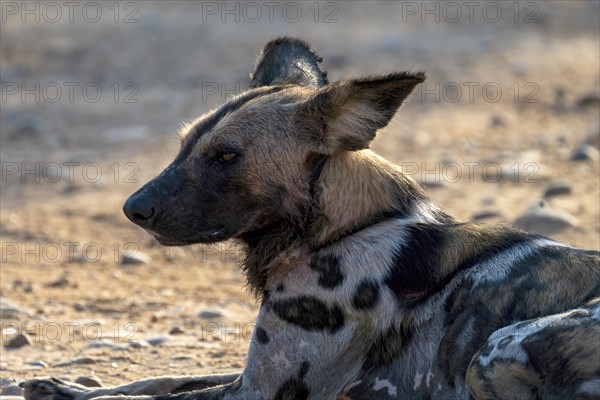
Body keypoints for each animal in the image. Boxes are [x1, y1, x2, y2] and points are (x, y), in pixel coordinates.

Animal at [22, 38, 600, 400]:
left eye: (226, 156)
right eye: (184, 145)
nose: (133, 208)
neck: (343, 230)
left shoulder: (258, 392)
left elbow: (150, 397)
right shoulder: (246, 377)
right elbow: (155, 383)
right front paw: (58, 388)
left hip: (494, 349)